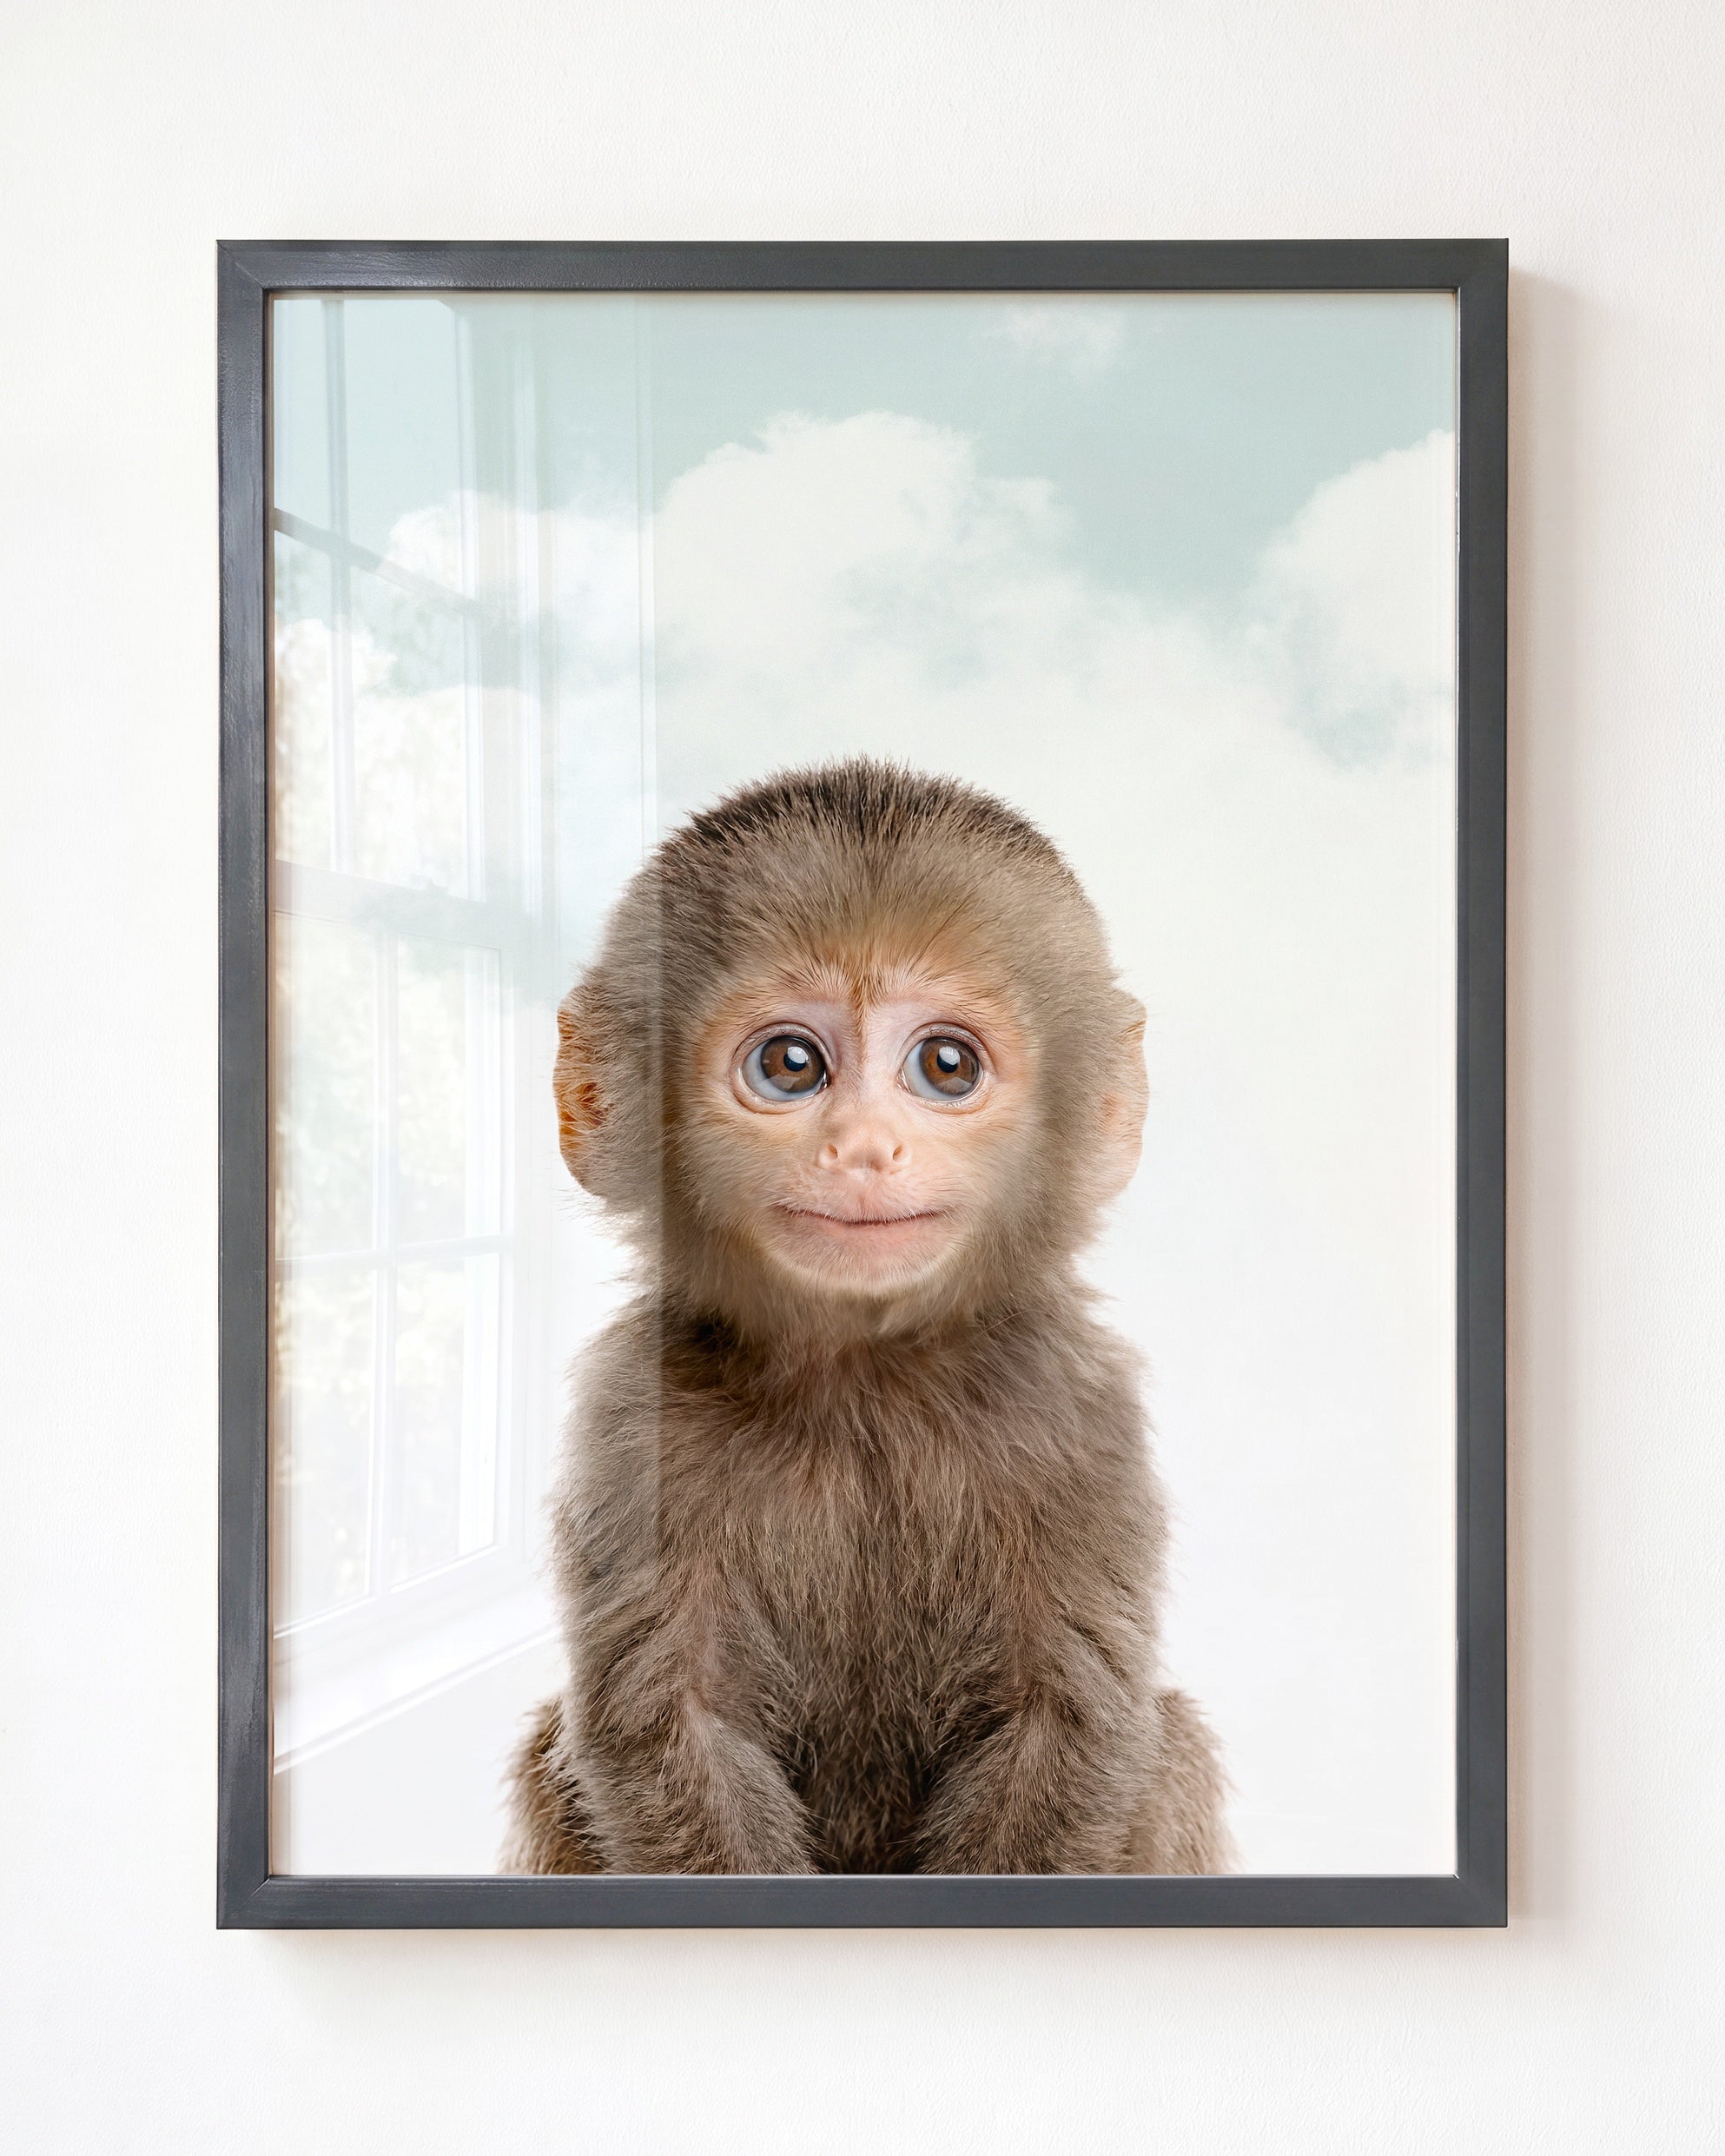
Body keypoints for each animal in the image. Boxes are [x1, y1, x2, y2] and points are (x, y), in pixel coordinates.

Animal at [501, 759, 1229, 1876]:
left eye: (945, 1066)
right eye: (791, 1065)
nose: (863, 1147)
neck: (863, 1378)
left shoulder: (1079, 1410)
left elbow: (1065, 1723)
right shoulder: (633, 1417)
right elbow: (672, 1725)